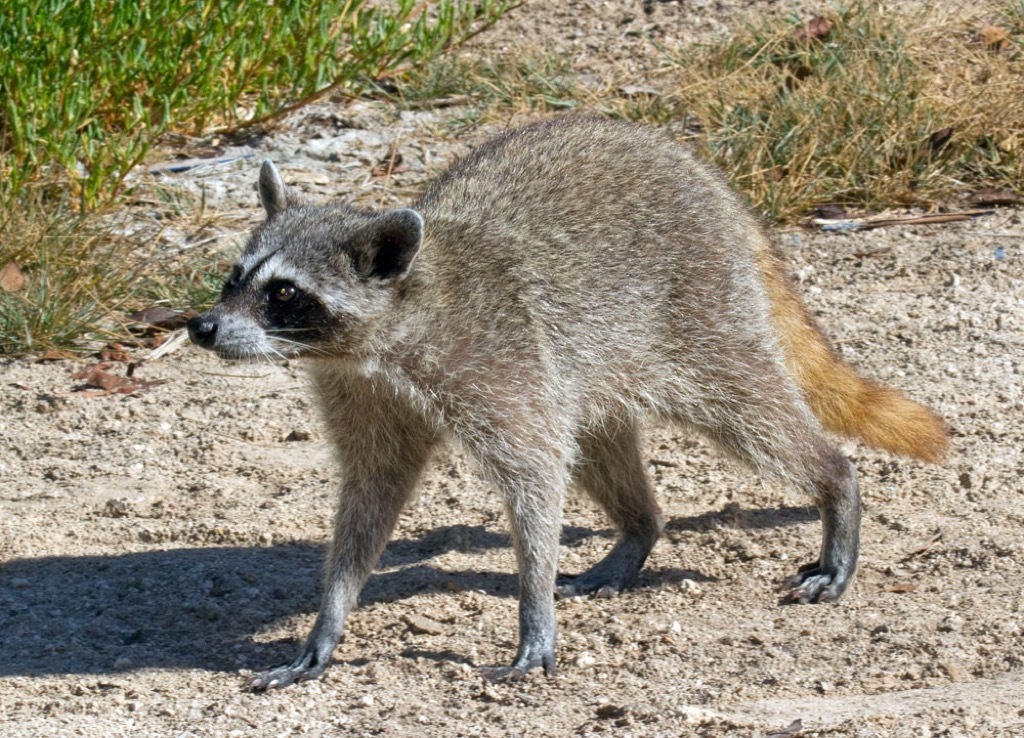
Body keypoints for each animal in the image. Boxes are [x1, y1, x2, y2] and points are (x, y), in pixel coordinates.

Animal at [187, 115, 947, 689]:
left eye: (285, 293)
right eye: (233, 278)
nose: (201, 327)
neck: (375, 341)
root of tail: (710, 181)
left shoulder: (495, 361)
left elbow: (534, 476)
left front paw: (534, 608)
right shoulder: (366, 393)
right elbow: (371, 497)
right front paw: (330, 619)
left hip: (697, 311)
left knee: (745, 408)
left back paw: (836, 486)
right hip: (596, 361)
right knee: (599, 442)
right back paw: (639, 529)